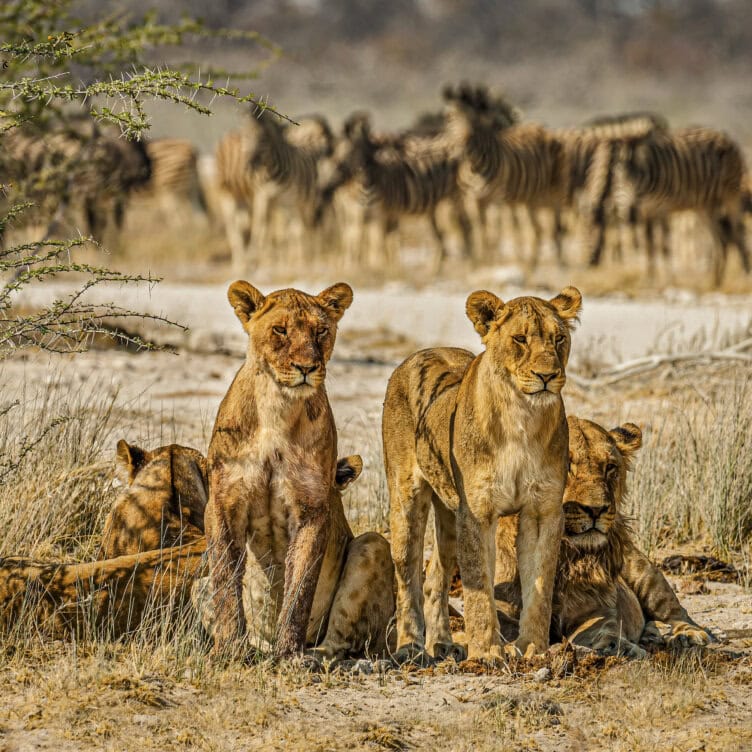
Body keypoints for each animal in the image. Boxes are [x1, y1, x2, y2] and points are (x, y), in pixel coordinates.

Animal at [588, 126, 750, 285]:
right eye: (617, 176)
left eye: (639, 174)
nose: (632, 214)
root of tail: (725, 137)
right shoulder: (647, 211)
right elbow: (648, 245)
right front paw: (649, 279)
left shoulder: (663, 208)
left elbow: (664, 246)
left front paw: (668, 280)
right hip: (705, 205)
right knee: (720, 237)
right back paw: (715, 280)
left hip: (731, 195)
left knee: (738, 230)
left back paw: (744, 275)